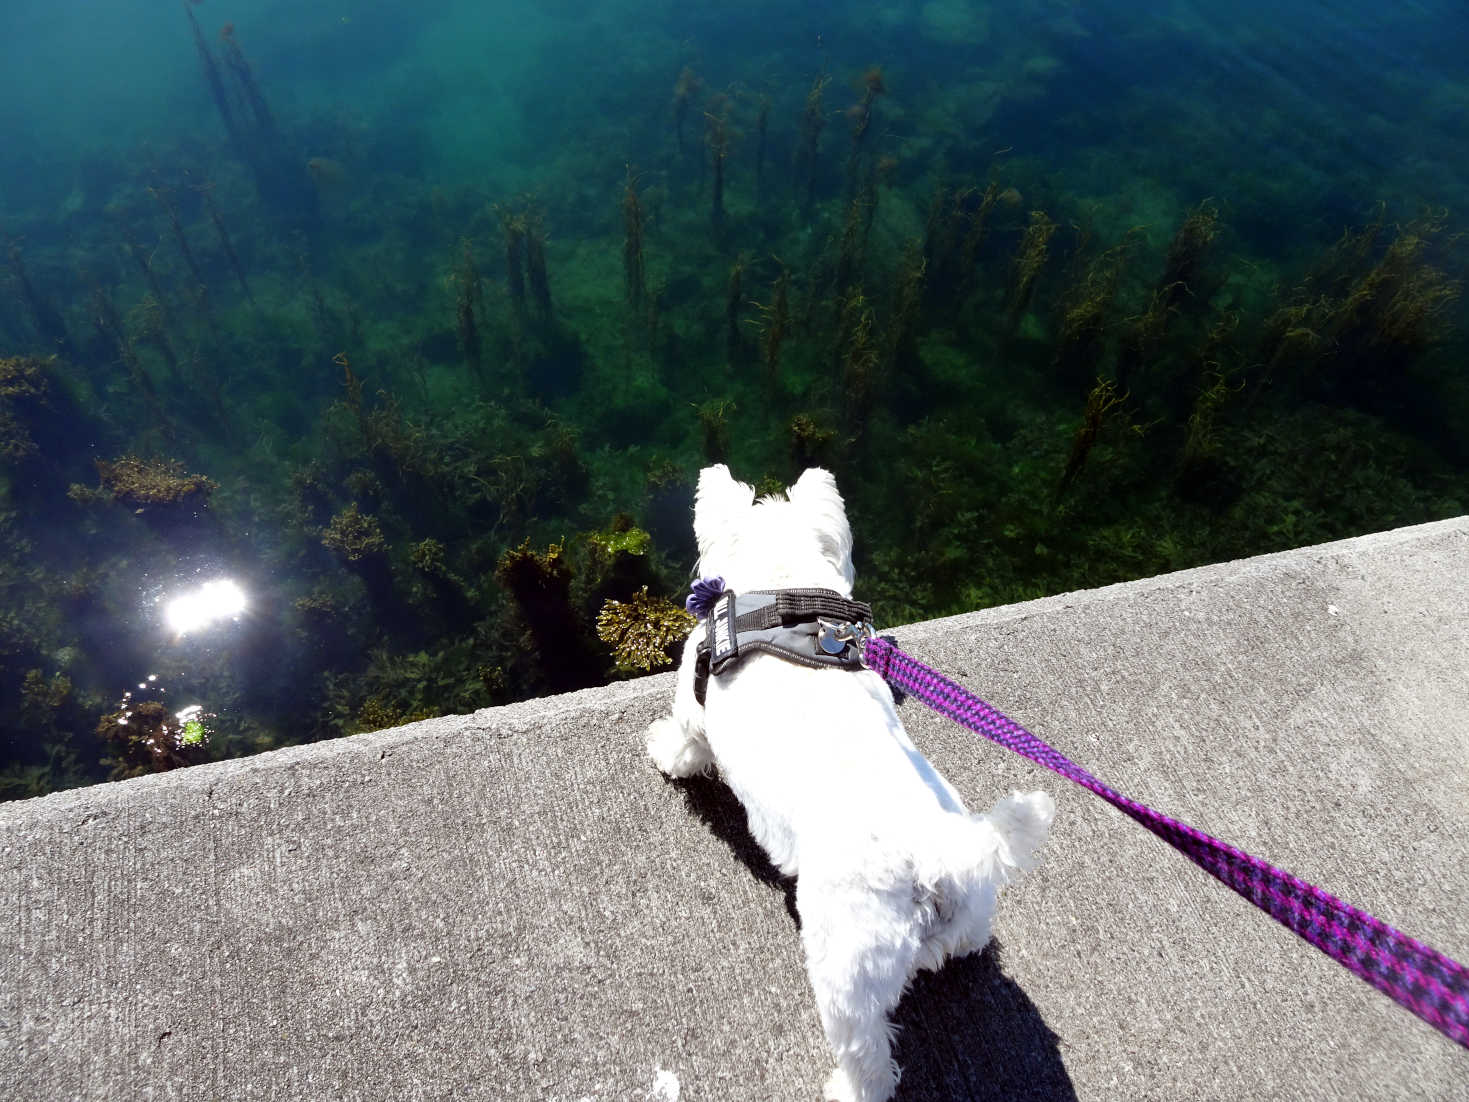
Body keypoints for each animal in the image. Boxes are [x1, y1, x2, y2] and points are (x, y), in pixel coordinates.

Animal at [649, 467, 1051, 1102]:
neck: (780, 596)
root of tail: (935, 856)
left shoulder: (695, 705)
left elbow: (685, 743)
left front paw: (664, 753)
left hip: (847, 969)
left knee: (870, 1058)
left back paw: (845, 1087)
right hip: (971, 903)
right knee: (965, 941)